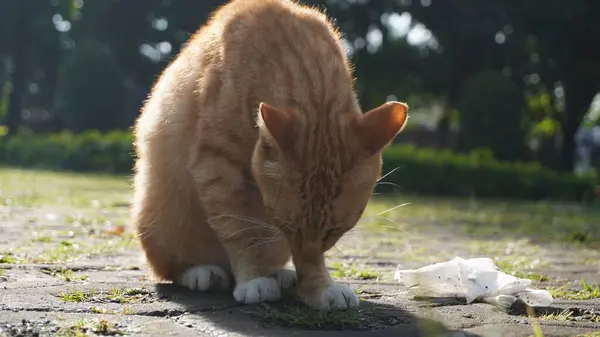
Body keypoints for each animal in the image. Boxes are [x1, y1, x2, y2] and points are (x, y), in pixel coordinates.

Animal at [131, 0, 408, 310]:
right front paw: (254, 278)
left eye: (334, 231)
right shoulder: (215, 164)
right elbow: (238, 228)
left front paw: (318, 286)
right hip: (162, 214)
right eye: (288, 225)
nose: (305, 250)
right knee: (170, 266)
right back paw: (202, 272)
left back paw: (278, 273)